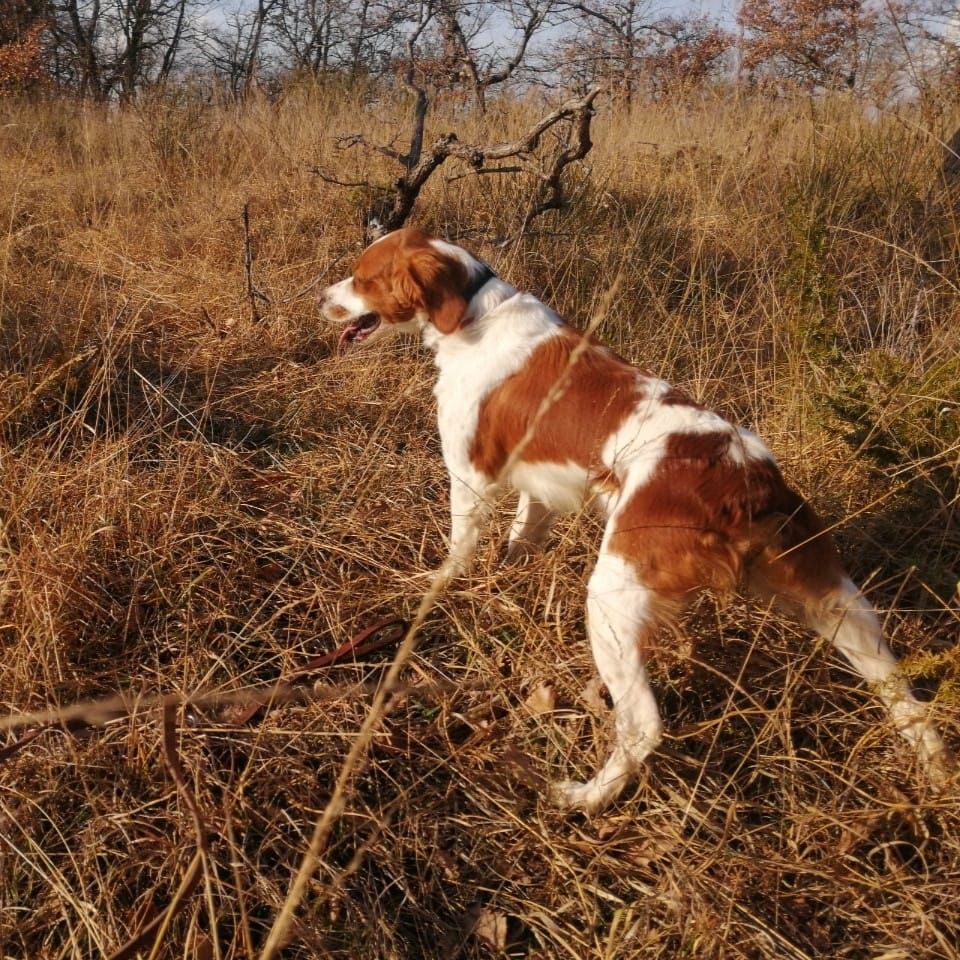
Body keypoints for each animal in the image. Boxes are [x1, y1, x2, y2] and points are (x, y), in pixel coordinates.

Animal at [318, 229, 948, 812]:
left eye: (362, 278)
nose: (321, 299)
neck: (473, 310)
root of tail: (746, 483)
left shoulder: (469, 473)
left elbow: (459, 550)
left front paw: (435, 589)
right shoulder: (538, 489)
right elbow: (521, 539)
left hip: (613, 599)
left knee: (644, 725)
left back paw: (586, 797)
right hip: (835, 601)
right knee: (904, 695)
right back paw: (936, 772)